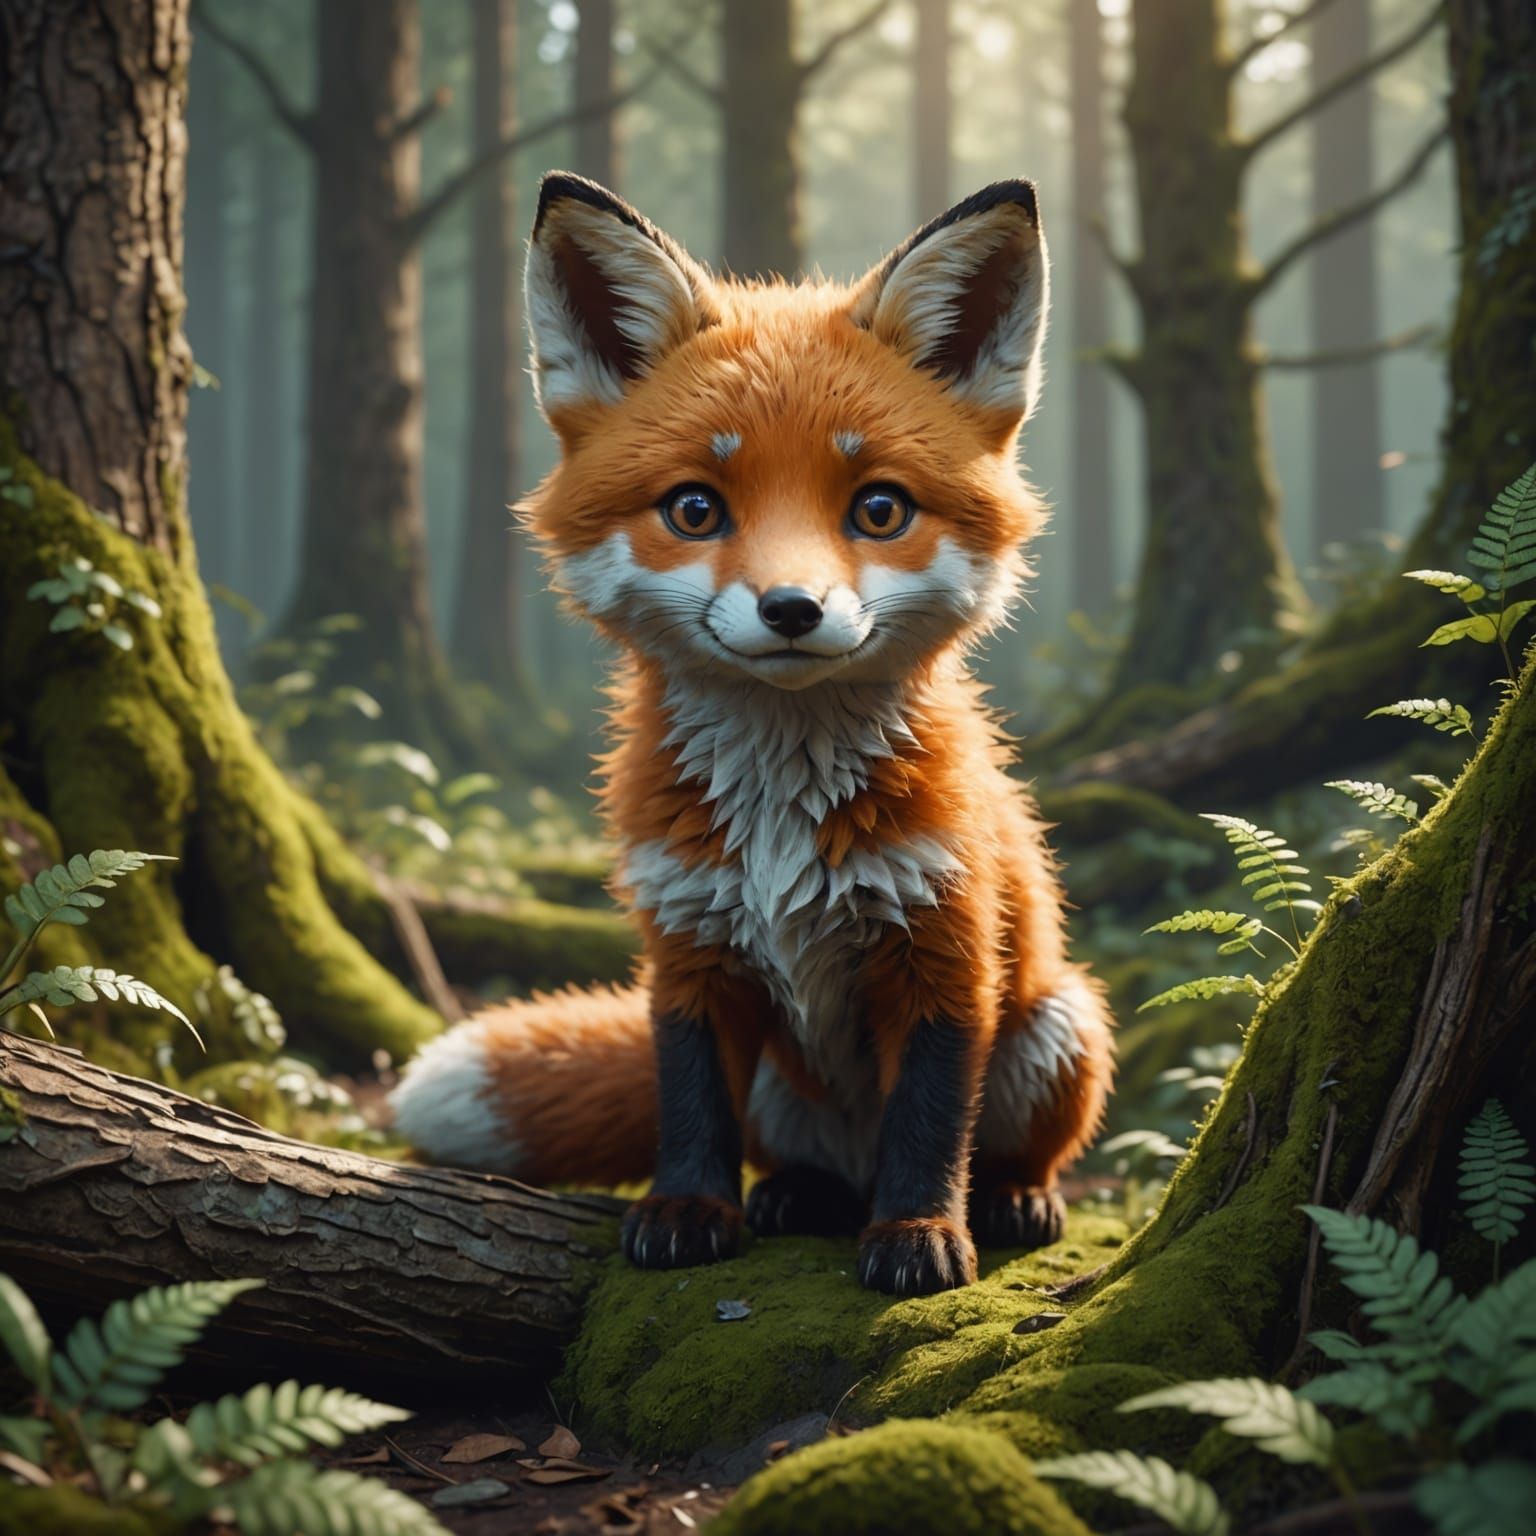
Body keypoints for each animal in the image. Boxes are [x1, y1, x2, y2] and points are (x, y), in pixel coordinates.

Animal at [390, 172, 1114, 1297]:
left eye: (878, 509)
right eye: (695, 508)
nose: (791, 608)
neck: (780, 820)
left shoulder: (946, 951)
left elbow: (928, 1123)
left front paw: (918, 1233)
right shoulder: (689, 949)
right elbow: (691, 1108)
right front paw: (688, 1213)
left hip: (1057, 1025)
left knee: (1002, 1146)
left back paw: (1010, 1198)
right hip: (787, 1080)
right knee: (797, 1158)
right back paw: (797, 1197)